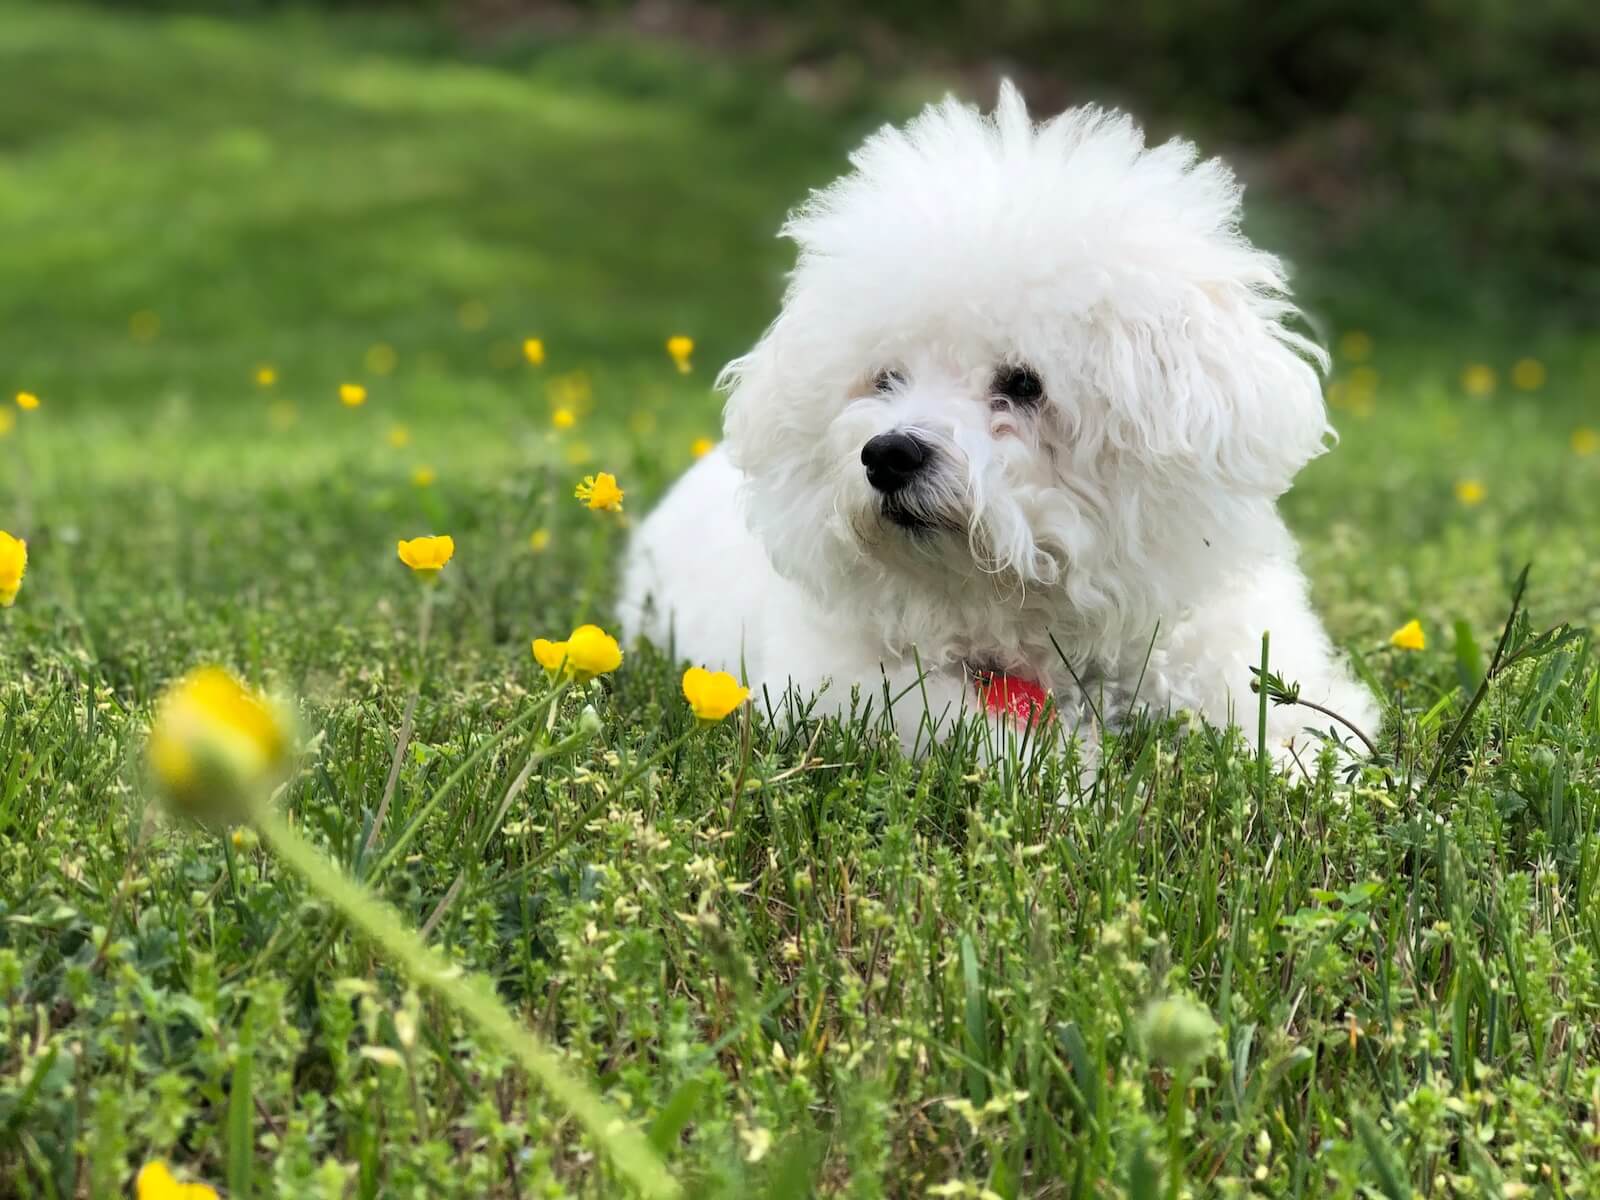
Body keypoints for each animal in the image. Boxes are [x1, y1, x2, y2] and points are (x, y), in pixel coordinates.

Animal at [617, 84, 1382, 764]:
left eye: (1022, 385)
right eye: (885, 379)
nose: (887, 455)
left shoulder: (1227, 648)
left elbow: (1299, 724)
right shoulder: (847, 685)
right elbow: (966, 731)